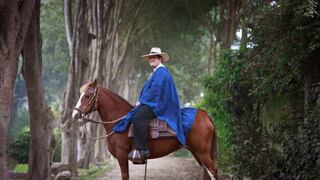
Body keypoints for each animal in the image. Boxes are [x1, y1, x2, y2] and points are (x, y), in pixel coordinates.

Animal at [72, 80, 218, 180]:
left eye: (87, 95)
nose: (75, 114)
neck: (120, 121)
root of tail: (206, 116)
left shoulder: (122, 156)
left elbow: (125, 176)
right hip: (197, 152)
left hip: (203, 153)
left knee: (213, 171)